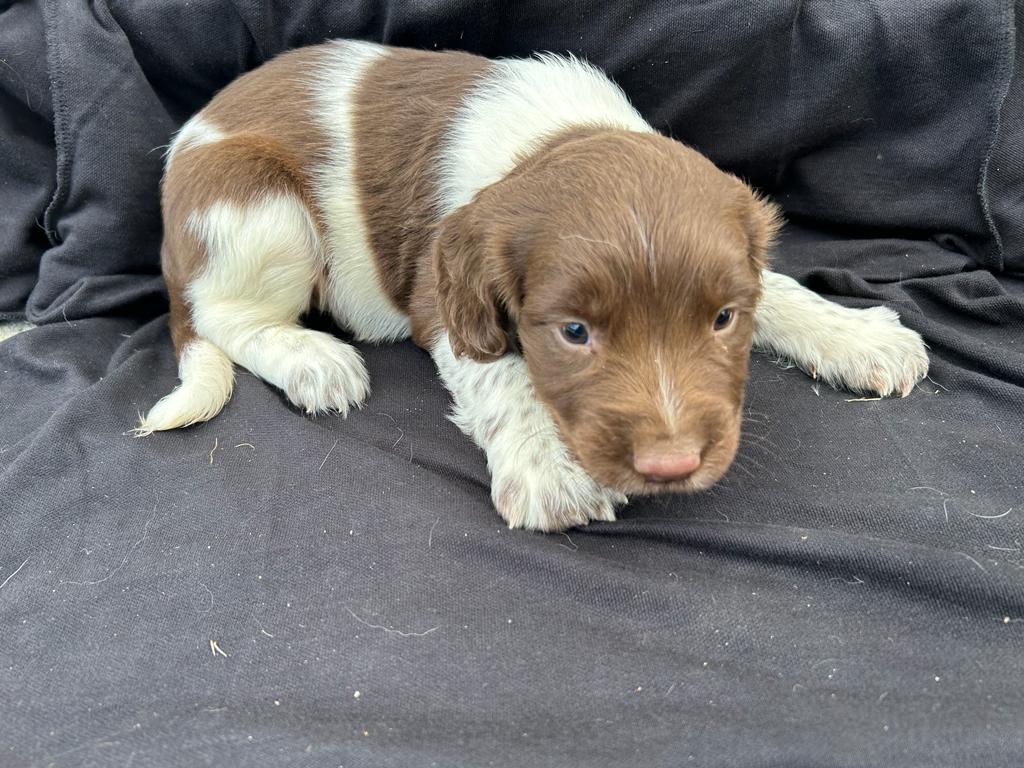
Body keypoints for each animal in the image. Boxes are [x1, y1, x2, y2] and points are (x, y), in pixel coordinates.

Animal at [134, 41, 929, 532]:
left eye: (723, 319)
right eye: (574, 333)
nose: (671, 464)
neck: (557, 134)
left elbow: (780, 287)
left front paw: (859, 336)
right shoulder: (444, 294)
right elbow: (503, 377)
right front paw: (549, 466)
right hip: (258, 202)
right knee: (222, 315)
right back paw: (311, 359)